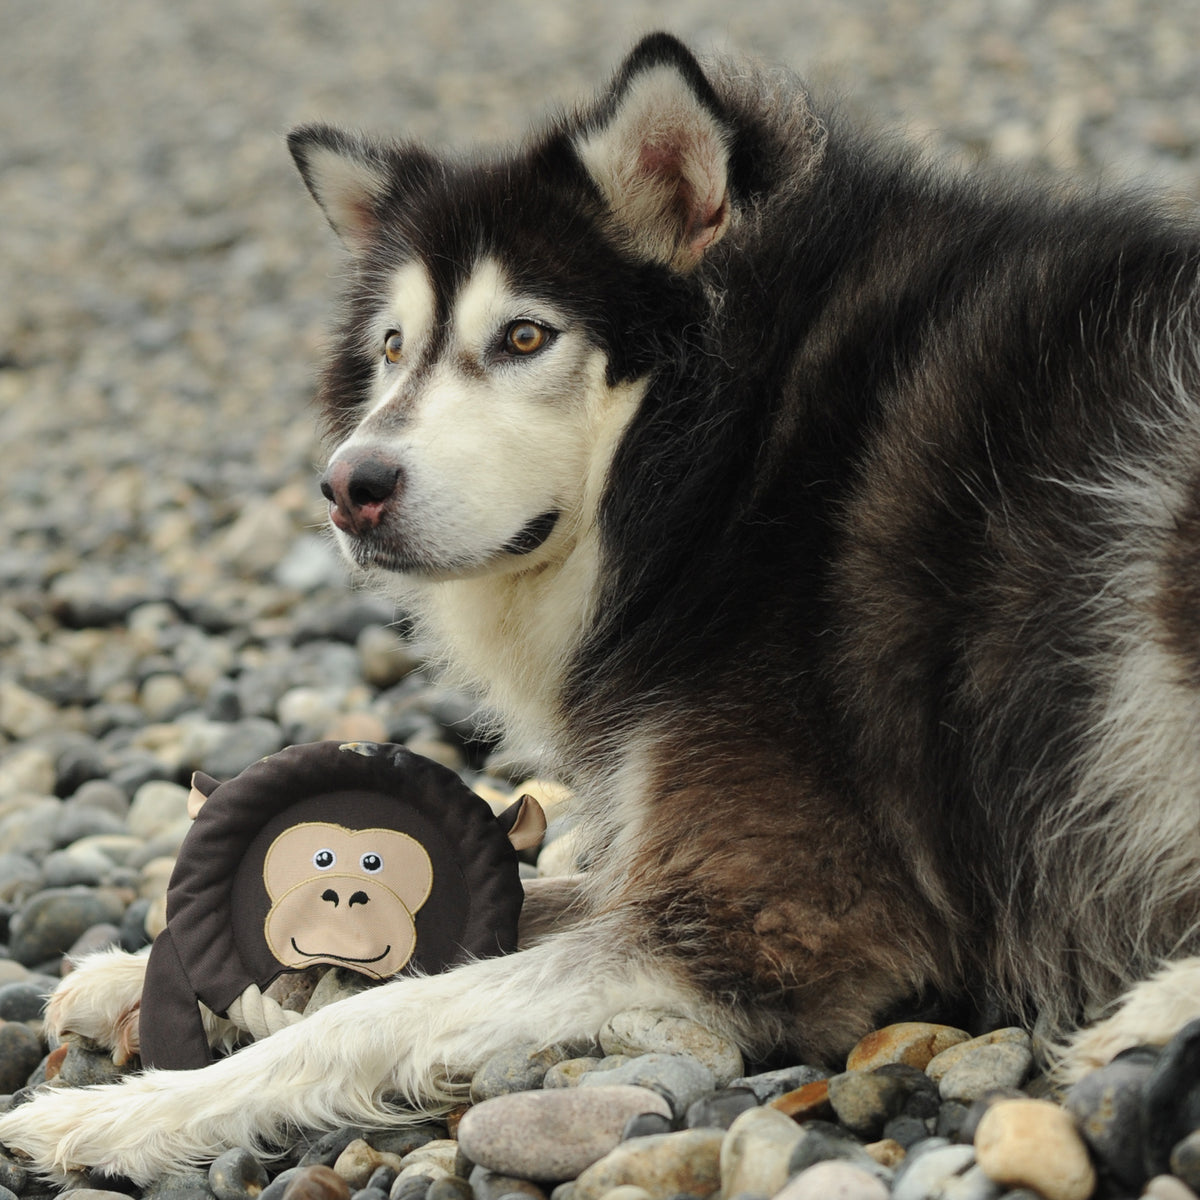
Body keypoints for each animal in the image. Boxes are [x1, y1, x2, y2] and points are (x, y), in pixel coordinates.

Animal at [2, 32, 1200, 1185]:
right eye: (393, 347)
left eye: (526, 337)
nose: (347, 485)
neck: (734, 466)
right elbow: (493, 907)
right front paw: (136, 972)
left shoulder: (772, 917)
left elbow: (373, 1016)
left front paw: (120, 1114)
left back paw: (1145, 1017)